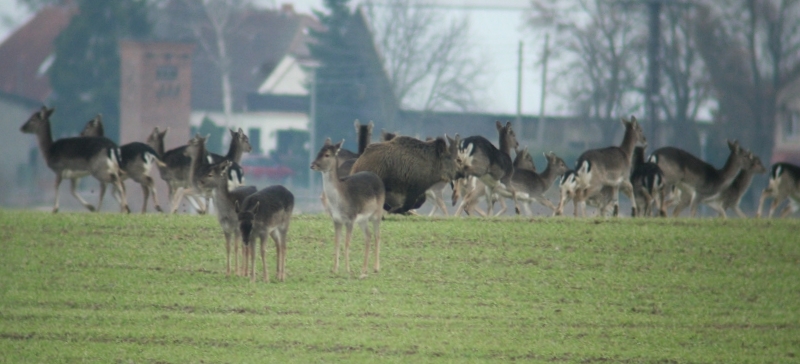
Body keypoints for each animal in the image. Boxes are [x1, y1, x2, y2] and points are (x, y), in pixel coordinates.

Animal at [310, 138, 386, 278]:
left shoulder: (350, 219)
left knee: (377, 235)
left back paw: (376, 268)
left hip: (377, 213)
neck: (338, 202)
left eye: (327, 154)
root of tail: (378, 178)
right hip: (362, 220)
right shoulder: (336, 220)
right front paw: (334, 269)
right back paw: (364, 269)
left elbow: (346, 243)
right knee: (368, 236)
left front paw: (347, 270)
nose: (312, 165)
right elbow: (336, 242)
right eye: (318, 152)